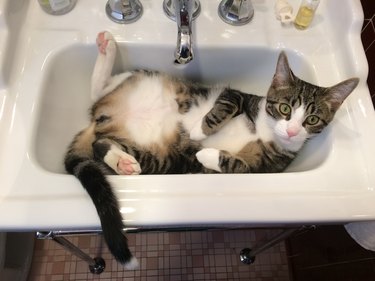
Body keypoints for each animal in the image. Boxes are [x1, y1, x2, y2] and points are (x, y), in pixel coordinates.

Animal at [65, 30, 362, 266]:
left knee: (101, 144)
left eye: (312, 120)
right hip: (143, 81)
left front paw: (205, 153)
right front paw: (200, 129)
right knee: (99, 93)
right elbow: (225, 105)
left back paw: (122, 160)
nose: (291, 130)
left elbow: (238, 166)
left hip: (162, 160)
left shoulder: (267, 166)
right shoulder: (239, 96)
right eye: (284, 108)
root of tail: (101, 119)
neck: (267, 131)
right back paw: (107, 50)